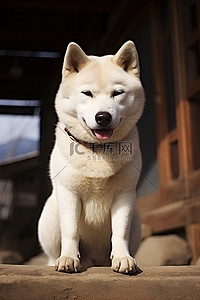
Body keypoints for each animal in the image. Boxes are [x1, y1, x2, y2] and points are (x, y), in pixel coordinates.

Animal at [38, 40, 144, 274]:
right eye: (87, 93)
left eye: (117, 93)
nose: (103, 116)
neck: (99, 151)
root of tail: (95, 260)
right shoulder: (69, 193)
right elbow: (71, 231)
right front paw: (68, 258)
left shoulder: (125, 196)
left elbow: (120, 233)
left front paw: (123, 258)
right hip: (50, 215)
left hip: (137, 219)